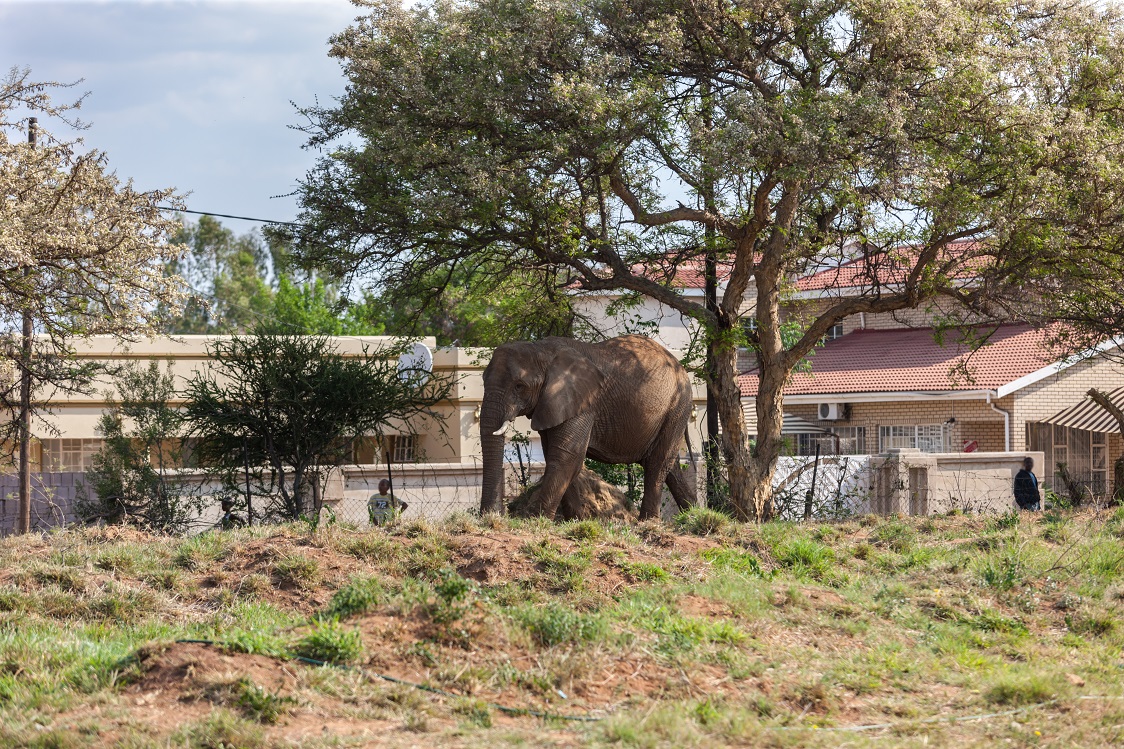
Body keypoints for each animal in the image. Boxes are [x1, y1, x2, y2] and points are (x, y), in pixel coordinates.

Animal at [478, 332, 696, 519]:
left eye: (519, 386)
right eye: (483, 380)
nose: (489, 516)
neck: (542, 349)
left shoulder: (583, 402)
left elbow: (566, 454)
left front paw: (535, 520)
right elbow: (556, 455)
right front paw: (575, 520)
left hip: (678, 406)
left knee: (657, 463)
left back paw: (648, 522)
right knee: (670, 466)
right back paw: (692, 516)